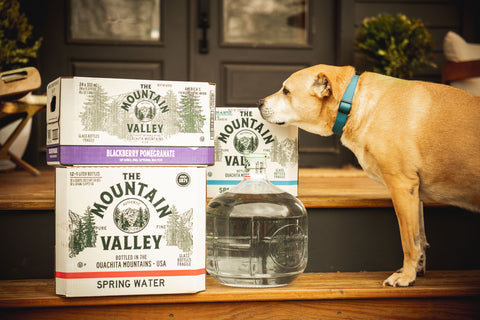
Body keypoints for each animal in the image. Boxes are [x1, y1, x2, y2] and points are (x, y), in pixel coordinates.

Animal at [258, 63, 480, 286]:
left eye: (286, 91)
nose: (259, 102)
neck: (352, 103)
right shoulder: (415, 192)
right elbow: (419, 238)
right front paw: (415, 270)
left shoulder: (401, 185)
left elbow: (409, 241)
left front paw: (406, 277)